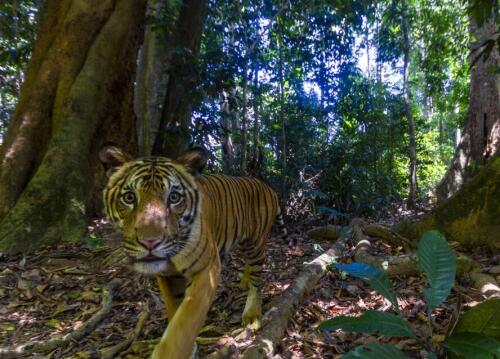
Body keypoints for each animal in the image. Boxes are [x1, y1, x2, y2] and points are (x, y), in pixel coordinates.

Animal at [99, 146, 286, 359]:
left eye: (174, 198)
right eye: (129, 197)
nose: (150, 242)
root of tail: (266, 186)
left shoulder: (207, 269)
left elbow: (186, 320)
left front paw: (171, 352)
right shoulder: (166, 276)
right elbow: (174, 310)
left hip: (256, 243)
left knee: (257, 279)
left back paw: (252, 314)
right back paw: (244, 282)